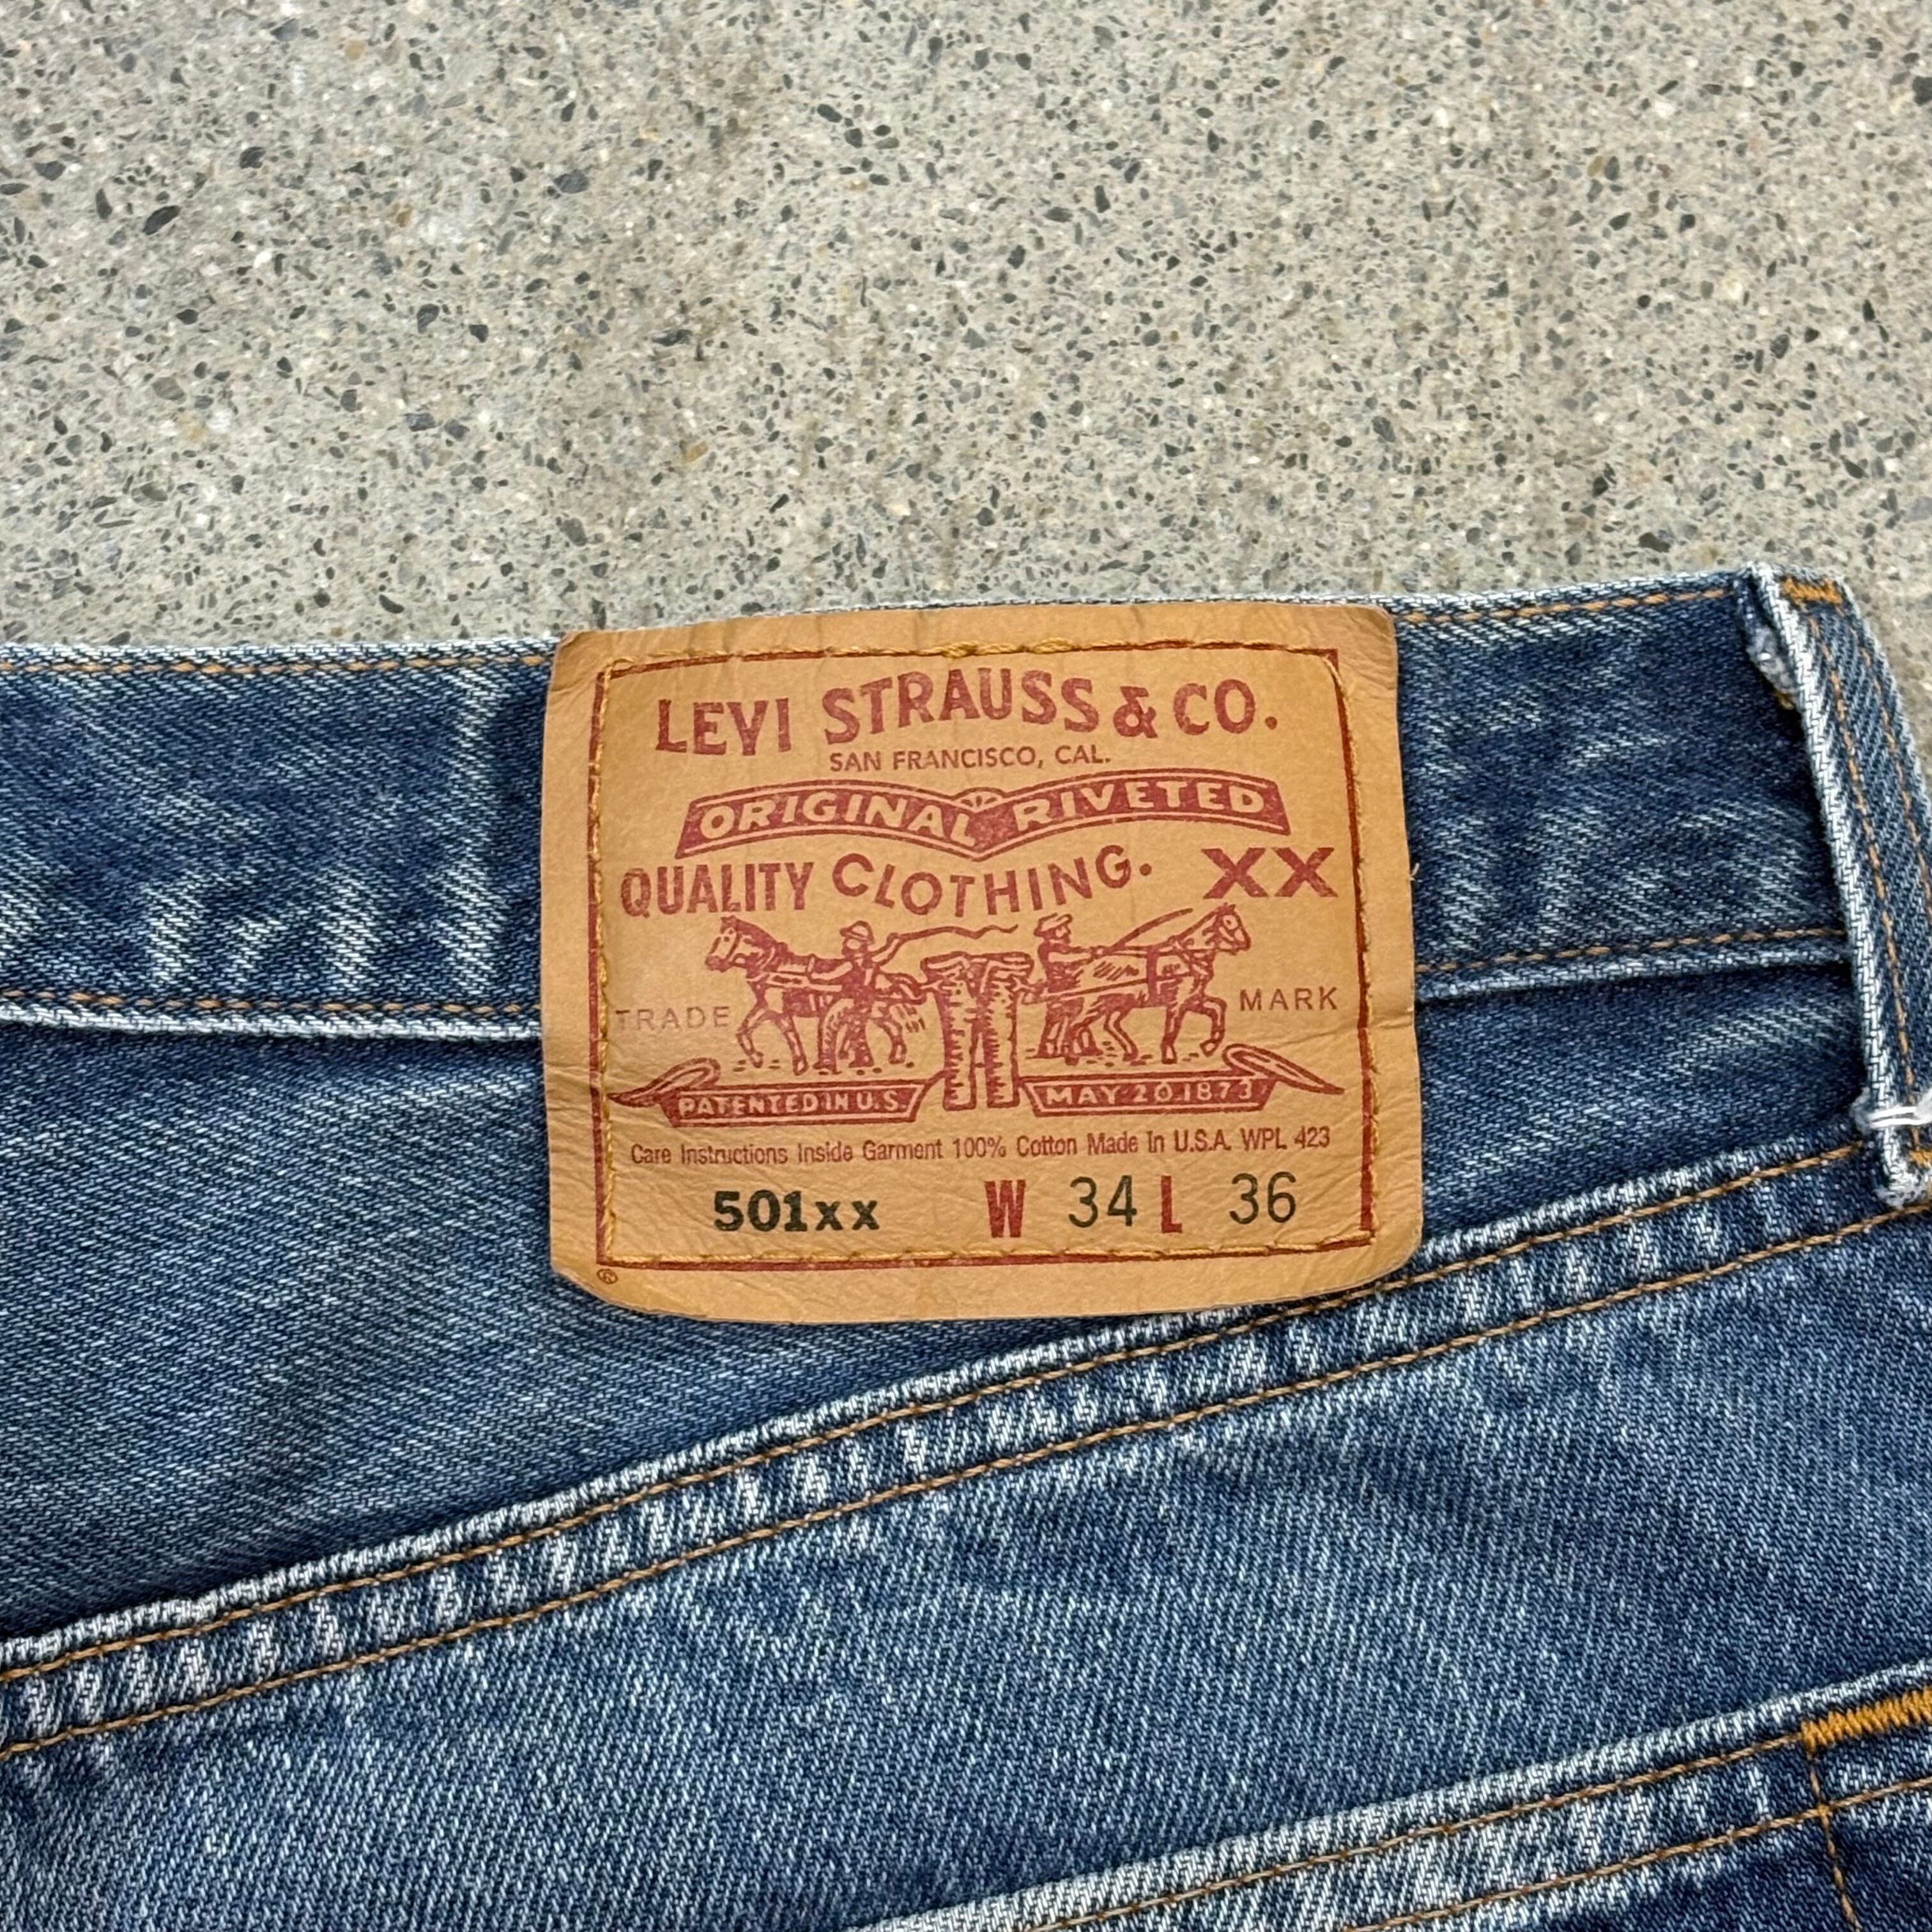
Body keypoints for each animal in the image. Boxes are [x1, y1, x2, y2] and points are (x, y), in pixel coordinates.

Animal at [704, 918, 923, 1075]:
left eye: (726, 939)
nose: (711, 962)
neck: (772, 966)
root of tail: (885, 975)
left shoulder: (779, 1010)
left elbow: (790, 1033)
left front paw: (800, 1065)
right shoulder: (765, 1006)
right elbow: (744, 1030)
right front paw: (758, 1058)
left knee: (889, 1027)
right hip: (875, 1012)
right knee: (892, 1027)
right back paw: (887, 1058)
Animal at [1043, 906, 1251, 1066]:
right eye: (1229, 923)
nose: (1246, 943)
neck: (1188, 956)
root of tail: (1084, 968)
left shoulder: (1193, 999)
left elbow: (1219, 1007)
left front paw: (1210, 1045)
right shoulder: (1177, 1003)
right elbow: (1172, 1029)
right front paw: (1169, 1056)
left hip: (1119, 1004)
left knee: (1110, 1025)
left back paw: (1130, 1052)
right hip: (1095, 1005)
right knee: (1074, 1026)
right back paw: (1070, 1056)